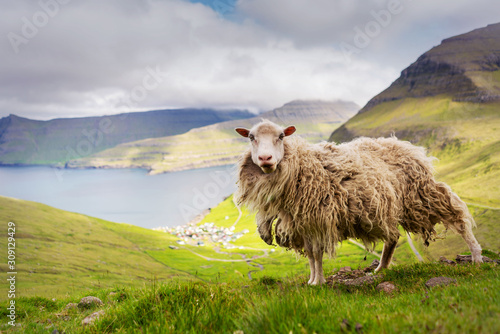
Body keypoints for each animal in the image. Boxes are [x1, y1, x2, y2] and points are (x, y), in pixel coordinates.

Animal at [235, 119, 484, 284]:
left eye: (281, 136)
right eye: (251, 137)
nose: (265, 158)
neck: (299, 164)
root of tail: (407, 146)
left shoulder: (318, 219)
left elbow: (316, 253)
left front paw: (319, 283)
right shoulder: (302, 222)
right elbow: (310, 254)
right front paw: (312, 280)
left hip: (421, 194)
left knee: (457, 215)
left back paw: (476, 256)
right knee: (393, 238)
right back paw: (381, 269)